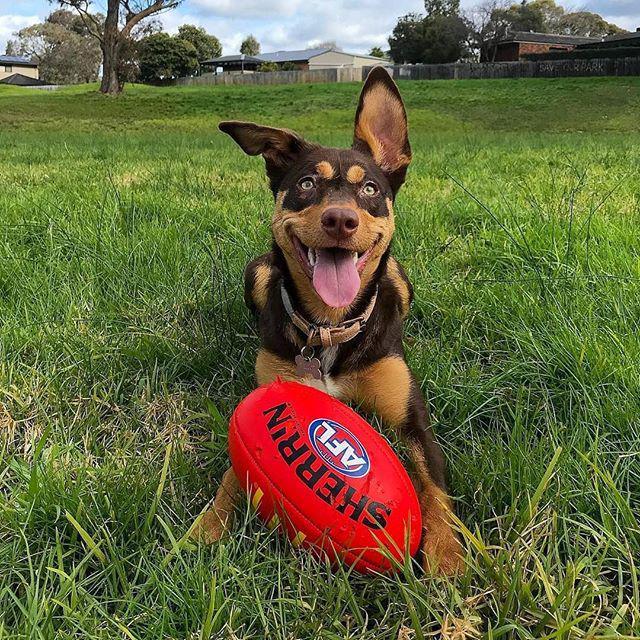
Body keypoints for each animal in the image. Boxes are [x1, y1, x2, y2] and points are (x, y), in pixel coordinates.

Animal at [194, 67, 463, 575]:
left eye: (370, 189)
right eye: (305, 184)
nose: (340, 219)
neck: (329, 327)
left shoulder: (413, 421)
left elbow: (435, 490)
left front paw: (450, 557)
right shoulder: (268, 394)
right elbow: (233, 470)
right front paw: (207, 528)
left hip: (400, 279)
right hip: (258, 271)